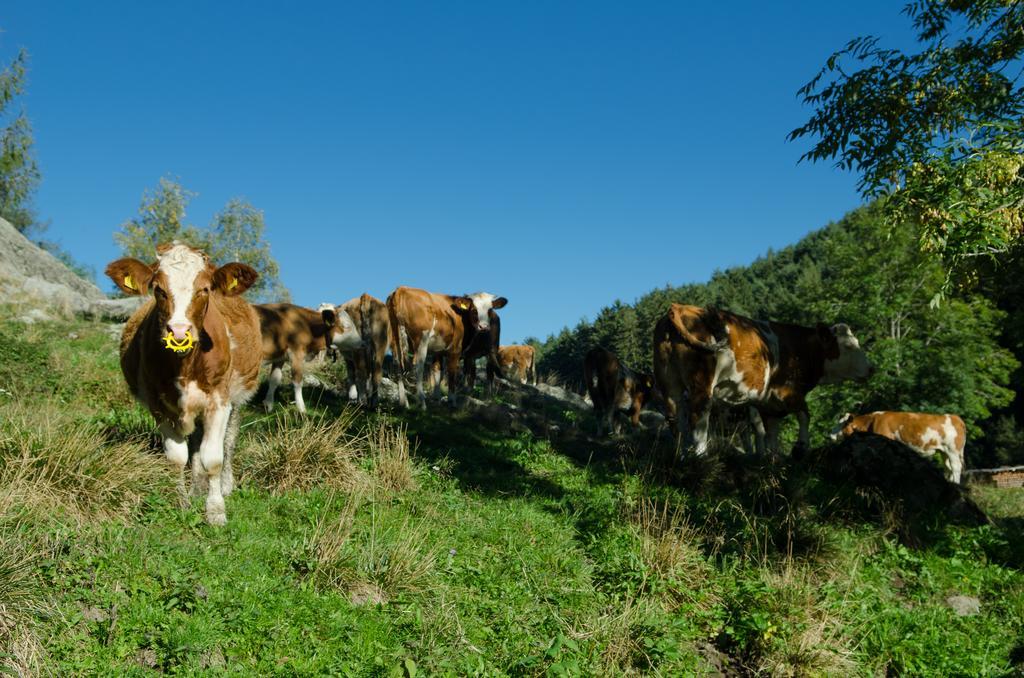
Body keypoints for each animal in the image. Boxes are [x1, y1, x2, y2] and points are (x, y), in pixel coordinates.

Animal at [104, 241, 262, 528]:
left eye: (205, 289)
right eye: (158, 289)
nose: (178, 332)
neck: (185, 366)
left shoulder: (219, 402)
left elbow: (214, 458)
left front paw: (216, 511)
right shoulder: (159, 406)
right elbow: (177, 458)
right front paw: (181, 503)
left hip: (239, 396)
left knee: (229, 440)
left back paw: (225, 485)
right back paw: (196, 489)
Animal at [655, 305, 872, 458]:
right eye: (848, 346)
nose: (872, 368)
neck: (798, 348)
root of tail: (679, 307)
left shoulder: (769, 404)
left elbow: (772, 434)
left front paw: (774, 459)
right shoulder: (788, 391)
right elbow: (804, 414)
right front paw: (801, 448)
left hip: (670, 387)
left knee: (677, 423)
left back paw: (682, 457)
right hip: (702, 386)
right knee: (698, 422)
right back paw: (701, 458)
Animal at [827, 411, 962, 485]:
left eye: (842, 424)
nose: (830, 435)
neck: (871, 422)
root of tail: (955, 417)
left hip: (953, 451)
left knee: (956, 468)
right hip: (944, 452)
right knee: (948, 469)